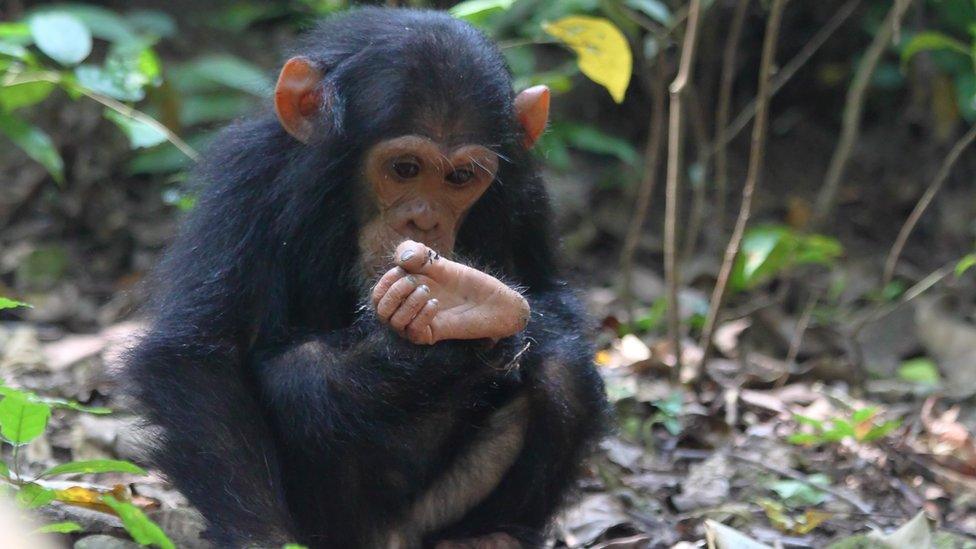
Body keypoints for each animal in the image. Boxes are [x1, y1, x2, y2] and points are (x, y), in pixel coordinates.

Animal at [125, 5, 608, 548]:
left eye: (460, 178)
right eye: (405, 168)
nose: (424, 221)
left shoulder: (527, 194)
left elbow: (554, 302)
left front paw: (478, 314)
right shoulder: (247, 179)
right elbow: (199, 357)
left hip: (429, 514)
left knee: (564, 372)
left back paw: (489, 534)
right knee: (299, 377)